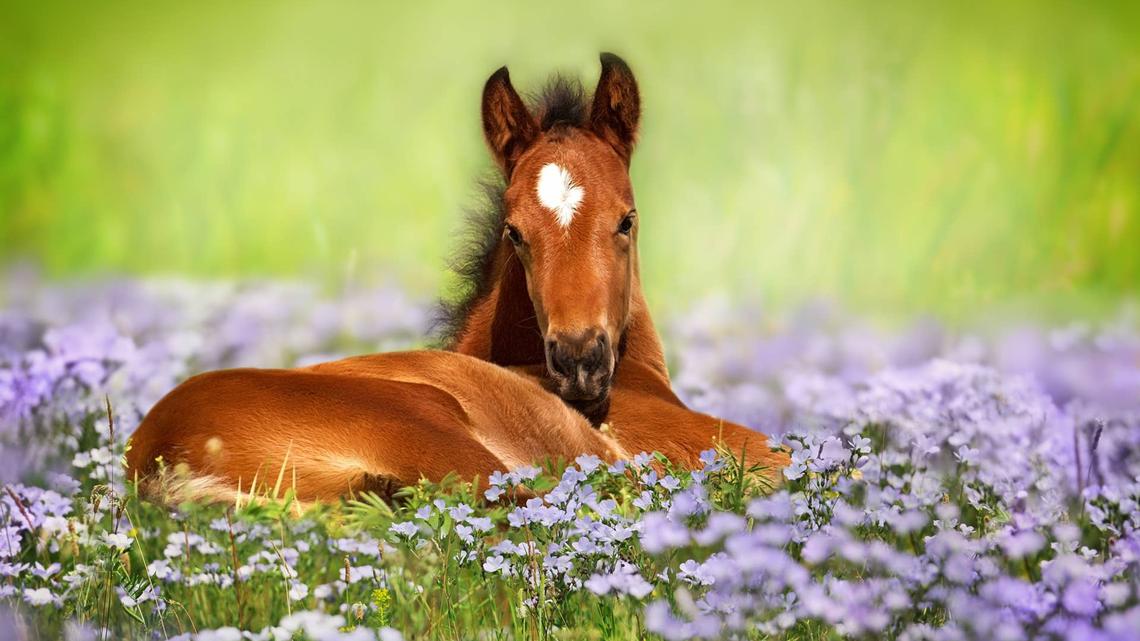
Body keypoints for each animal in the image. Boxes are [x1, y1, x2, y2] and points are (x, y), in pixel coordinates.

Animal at [125, 54, 788, 505]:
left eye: (626, 220)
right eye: (514, 232)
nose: (580, 361)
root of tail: (160, 457)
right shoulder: (727, 447)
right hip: (440, 432)